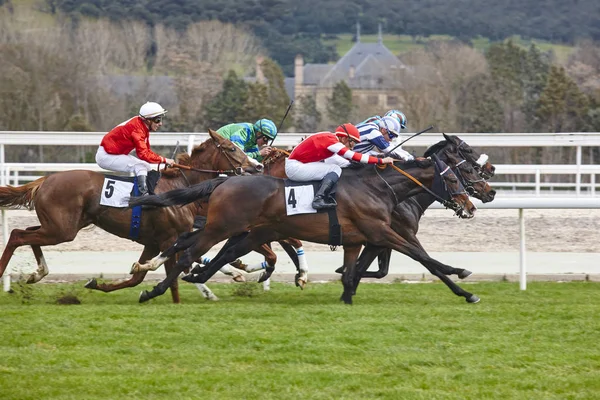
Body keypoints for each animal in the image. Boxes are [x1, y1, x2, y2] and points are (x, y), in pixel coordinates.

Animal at [0, 130, 256, 302]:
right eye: (232, 148)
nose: (255, 167)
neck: (180, 187)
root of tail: (45, 179)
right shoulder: (168, 239)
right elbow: (173, 276)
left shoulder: (153, 242)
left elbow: (138, 277)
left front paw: (98, 283)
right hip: (62, 230)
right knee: (18, 235)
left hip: (58, 226)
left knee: (26, 233)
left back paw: (37, 274)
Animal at [130, 138, 478, 304]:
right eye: (454, 178)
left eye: (464, 172)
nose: (469, 205)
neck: (377, 187)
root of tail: (224, 181)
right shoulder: (381, 231)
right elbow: (422, 257)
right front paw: (461, 277)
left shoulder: (357, 239)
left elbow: (352, 272)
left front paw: (346, 296)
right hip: (222, 227)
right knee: (188, 253)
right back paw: (154, 290)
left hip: (250, 232)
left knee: (205, 251)